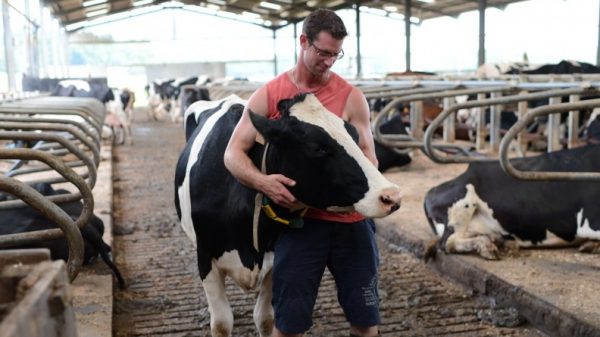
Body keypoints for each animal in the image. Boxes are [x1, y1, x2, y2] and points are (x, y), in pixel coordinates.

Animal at [422, 142, 600, 260]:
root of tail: (430, 191)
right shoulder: (590, 220)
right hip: (462, 199)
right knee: (448, 242)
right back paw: (486, 247)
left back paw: (497, 242)